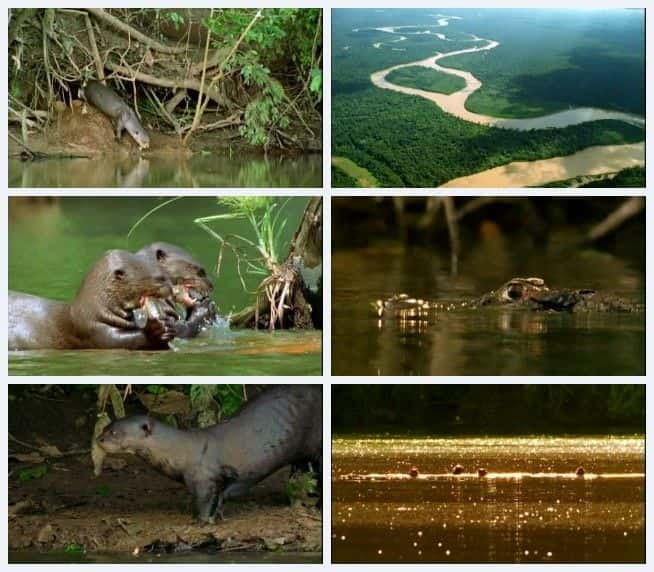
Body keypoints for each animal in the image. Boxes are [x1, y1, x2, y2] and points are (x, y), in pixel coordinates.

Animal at [96, 384, 322, 524]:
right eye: (105, 428)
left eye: (114, 432)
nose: (99, 439)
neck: (181, 451)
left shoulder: (204, 478)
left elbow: (205, 499)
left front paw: (203, 520)